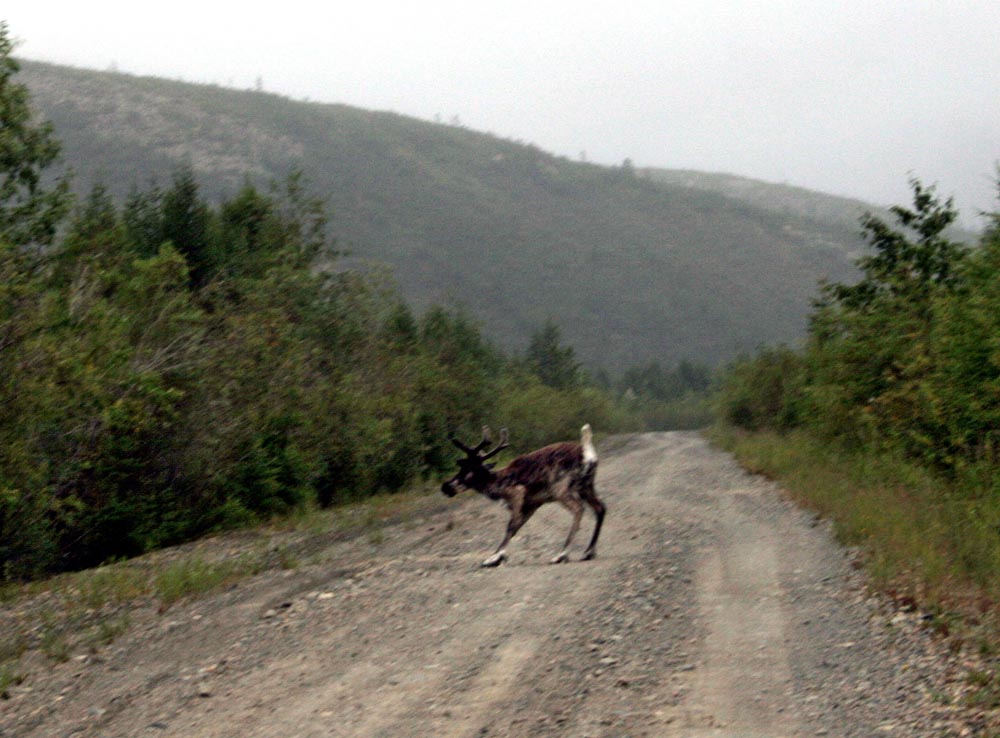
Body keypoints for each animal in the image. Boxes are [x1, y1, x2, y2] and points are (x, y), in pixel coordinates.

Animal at [441, 424, 605, 567]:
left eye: (466, 469)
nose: (446, 487)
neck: (498, 484)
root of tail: (588, 455)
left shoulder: (517, 494)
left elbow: (511, 526)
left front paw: (495, 558)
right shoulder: (532, 504)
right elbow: (516, 528)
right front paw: (496, 556)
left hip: (561, 489)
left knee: (579, 509)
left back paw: (561, 555)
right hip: (586, 486)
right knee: (600, 508)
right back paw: (589, 552)